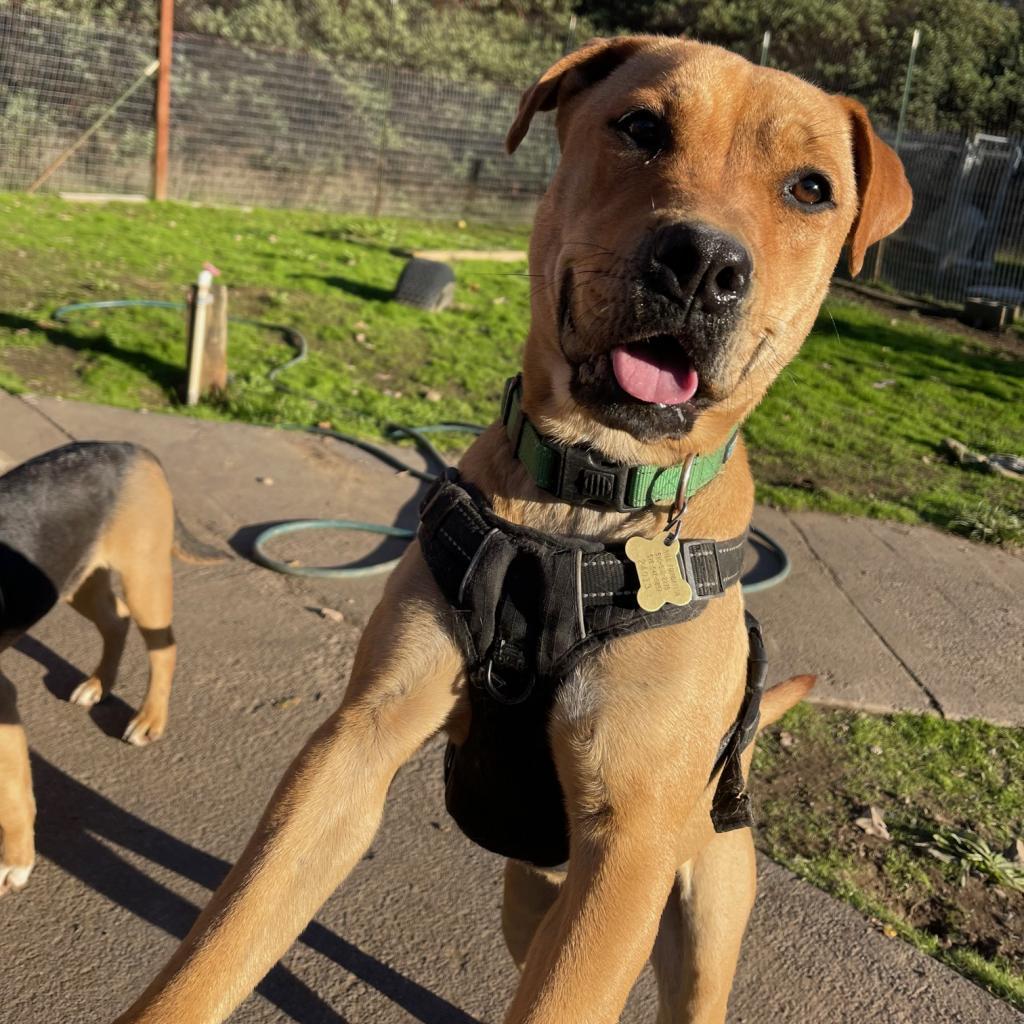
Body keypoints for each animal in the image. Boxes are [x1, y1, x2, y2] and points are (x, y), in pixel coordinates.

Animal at [114, 36, 913, 1019]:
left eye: (810, 188)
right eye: (641, 126)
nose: (700, 264)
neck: (584, 497)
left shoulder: (628, 848)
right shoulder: (354, 745)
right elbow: (224, 939)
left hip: (702, 921)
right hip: (530, 897)